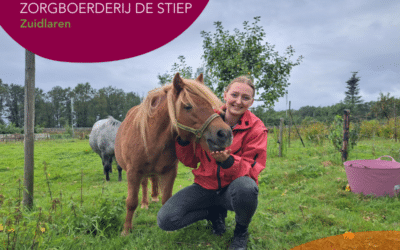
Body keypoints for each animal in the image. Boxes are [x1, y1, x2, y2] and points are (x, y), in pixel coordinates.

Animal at [114, 73, 233, 236]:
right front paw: (126, 230)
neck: (151, 139)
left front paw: (168, 232)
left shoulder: (170, 171)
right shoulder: (133, 172)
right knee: (144, 185)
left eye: (210, 104)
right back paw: (145, 203)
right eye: (188, 106)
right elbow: (131, 202)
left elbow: (166, 199)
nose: (224, 133)